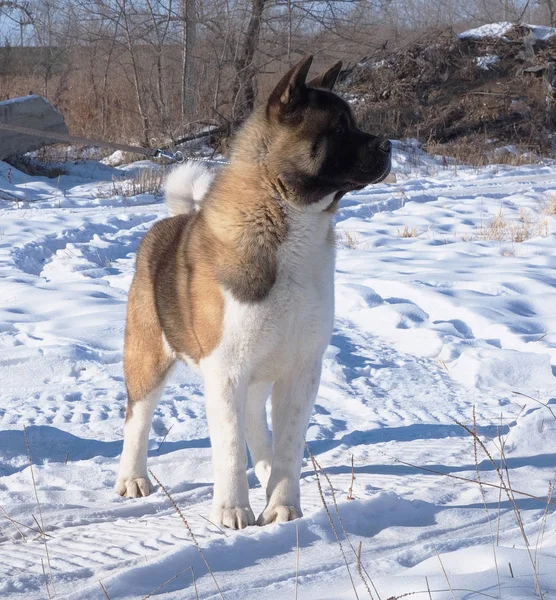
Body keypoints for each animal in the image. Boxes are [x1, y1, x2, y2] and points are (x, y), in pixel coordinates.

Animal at [115, 54, 388, 528]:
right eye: (339, 129)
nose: (389, 145)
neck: (284, 218)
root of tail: (170, 222)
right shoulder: (225, 371)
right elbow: (227, 446)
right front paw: (232, 511)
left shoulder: (301, 369)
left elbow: (289, 443)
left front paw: (282, 507)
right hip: (149, 356)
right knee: (139, 417)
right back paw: (132, 479)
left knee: (257, 422)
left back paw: (263, 470)